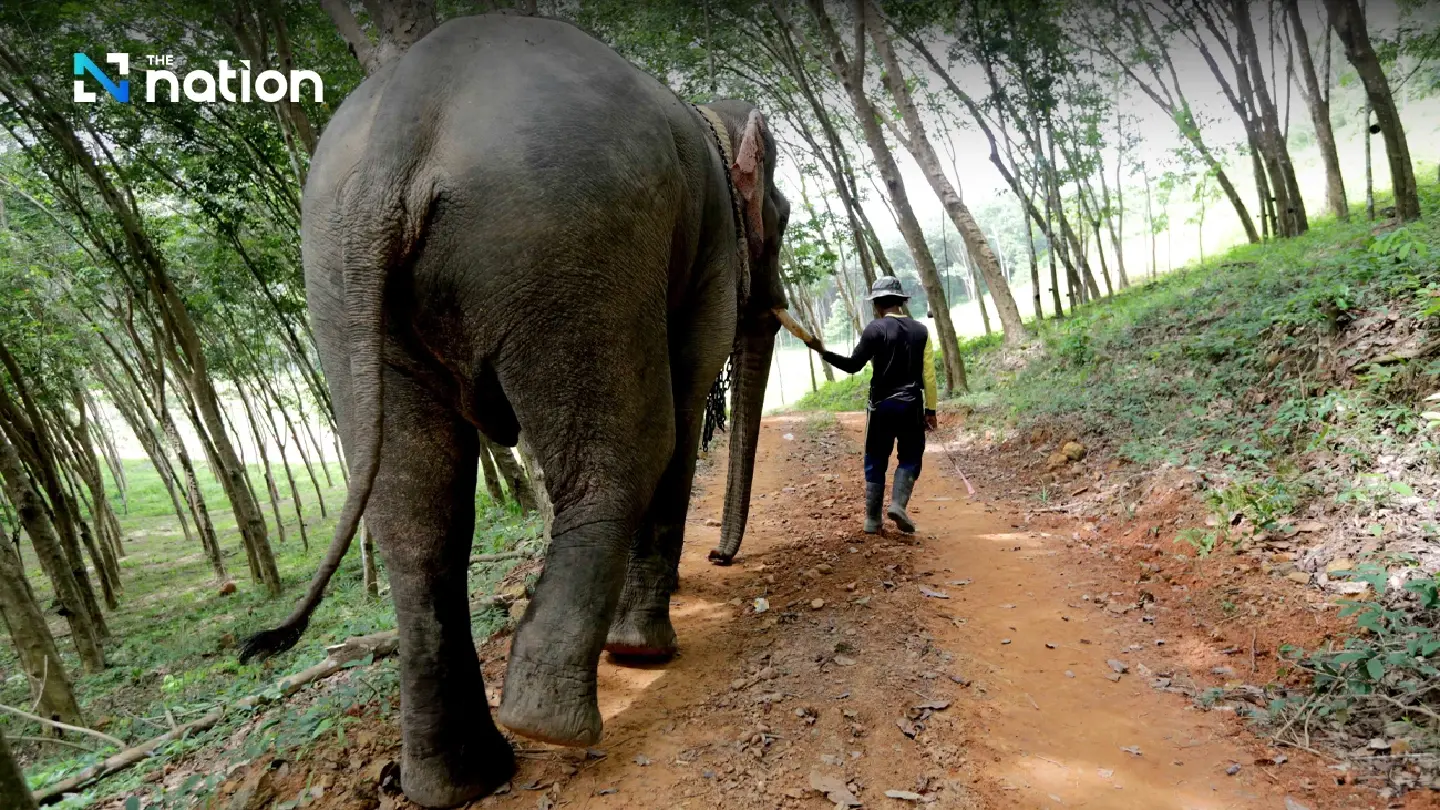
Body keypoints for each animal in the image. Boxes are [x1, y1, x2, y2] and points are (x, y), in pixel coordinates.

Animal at [239, 13, 790, 809]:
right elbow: (688, 400)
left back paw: (461, 778)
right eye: (783, 215)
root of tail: (406, 115)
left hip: (342, 281)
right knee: (634, 441)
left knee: (417, 512)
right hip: (567, 239)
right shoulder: (711, 246)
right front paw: (645, 646)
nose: (721, 555)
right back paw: (556, 715)